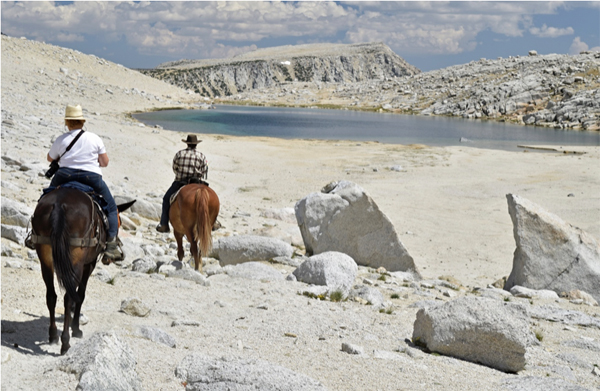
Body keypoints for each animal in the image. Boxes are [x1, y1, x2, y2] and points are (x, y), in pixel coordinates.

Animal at [28, 187, 134, 356]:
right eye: (119, 222)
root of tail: (59, 204)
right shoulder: (89, 264)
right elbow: (81, 295)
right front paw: (76, 328)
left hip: (45, 256)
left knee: (51, 295)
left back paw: (53, 335)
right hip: (76, 261)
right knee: (69, 297)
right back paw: (65, 343)